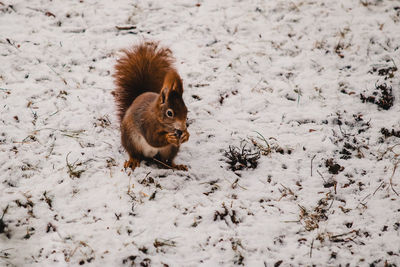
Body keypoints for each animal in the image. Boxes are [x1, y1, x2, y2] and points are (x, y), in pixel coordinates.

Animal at [111, 42, 188, 172]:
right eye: (169, 113)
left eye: (186, 111)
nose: (182, 128)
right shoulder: (146, 123)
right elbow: (152, 139)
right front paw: (168, 138)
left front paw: (186, 135)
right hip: (131, 140)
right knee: (135, 154)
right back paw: (133, 161)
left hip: (169, 150)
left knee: (166, 162)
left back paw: (176, 166)